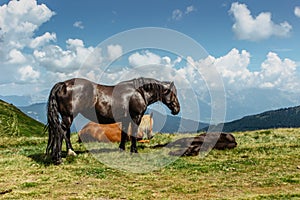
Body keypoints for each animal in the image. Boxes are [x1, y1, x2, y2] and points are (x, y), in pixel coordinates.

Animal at [45, 77, 179, 164]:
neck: (139, 92)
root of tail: (63, 84)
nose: (177, 109)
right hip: (68, 116)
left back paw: (70, 152)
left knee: (65, 133)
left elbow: (124, 134)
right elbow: (133, 134)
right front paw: (134, 151)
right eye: (173, 93)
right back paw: (58, 158)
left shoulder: (126, 119)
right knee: (61, 132)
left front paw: (122, 149)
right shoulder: (136, 117)